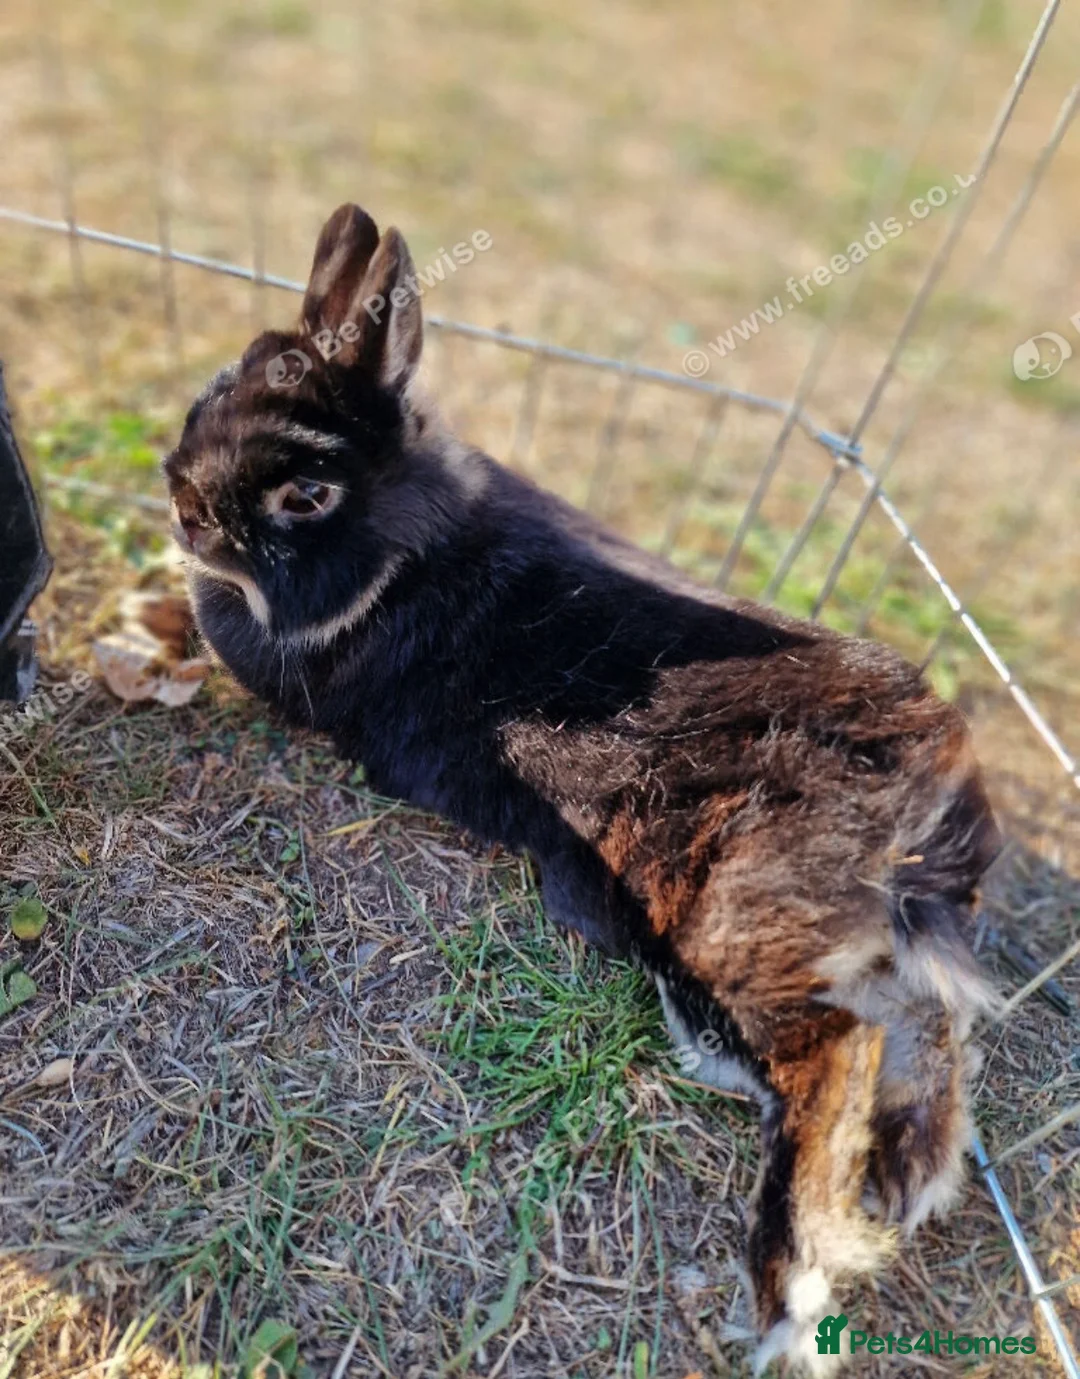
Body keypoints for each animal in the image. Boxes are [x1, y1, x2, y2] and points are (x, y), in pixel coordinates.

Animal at [163, 204, 1002, 1375]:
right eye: (214, 392)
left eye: (307, 494)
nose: (183, 500)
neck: (402, 547)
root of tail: (924, 793)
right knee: (920, 1023)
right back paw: (906, 1175)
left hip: (729, 916)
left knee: (833, 1048)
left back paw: (789, 1283)